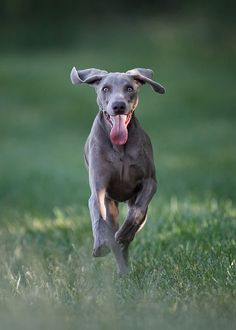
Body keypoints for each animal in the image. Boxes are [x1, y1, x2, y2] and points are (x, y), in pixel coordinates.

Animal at [71, 67, 165, 274]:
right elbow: (98, 215)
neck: (120, 148)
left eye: (129, 88)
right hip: (111, 204)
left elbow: (137, 211)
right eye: (105, 88)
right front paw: (100, 245)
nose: (119, 106)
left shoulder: (150, 182)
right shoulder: (99, 188)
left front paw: (124, 233)